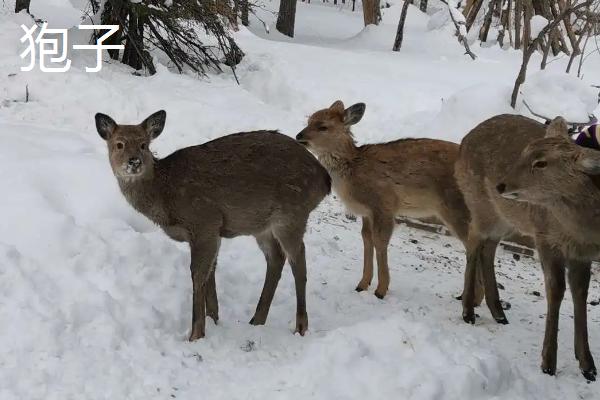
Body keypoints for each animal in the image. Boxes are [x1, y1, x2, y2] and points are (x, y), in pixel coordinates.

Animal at [94, 110, 330, 340]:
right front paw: (214, 319)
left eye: (144, 144)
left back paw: (300, 326)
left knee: (298, 260)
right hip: (262, 225)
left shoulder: (204, 221)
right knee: (276, 258)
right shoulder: (212, 231)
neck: (166, 196)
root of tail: (325, 179)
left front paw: (196, 334)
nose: (134, 162)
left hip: (291, 214)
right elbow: (211, 274)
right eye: (119, 144)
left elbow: (198, 275)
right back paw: (257, 319)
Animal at [296, 100, 496, 312]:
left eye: (323, 126)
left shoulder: (384, 204)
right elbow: (367, 239)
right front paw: (362, 284)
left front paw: (381, 290)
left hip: (457, 207)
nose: (299, 136)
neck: (353, 172)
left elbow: (380, 241)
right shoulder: (367, 212)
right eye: (309, 120)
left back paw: (473, 299)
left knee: (474, 244)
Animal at [454, 113, 600, 382]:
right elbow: (556, 290)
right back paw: (468, 310)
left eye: (541, 163)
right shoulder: (545, 238)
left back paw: (498, 312)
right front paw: (548, 362)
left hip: (506, 219)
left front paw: (587, 364)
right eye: (525, 152)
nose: (501, 185)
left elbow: (580, 293)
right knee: (473, 241)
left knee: (488, 248)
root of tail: (464, 141)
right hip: (481, 205)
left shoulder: (583, 252)